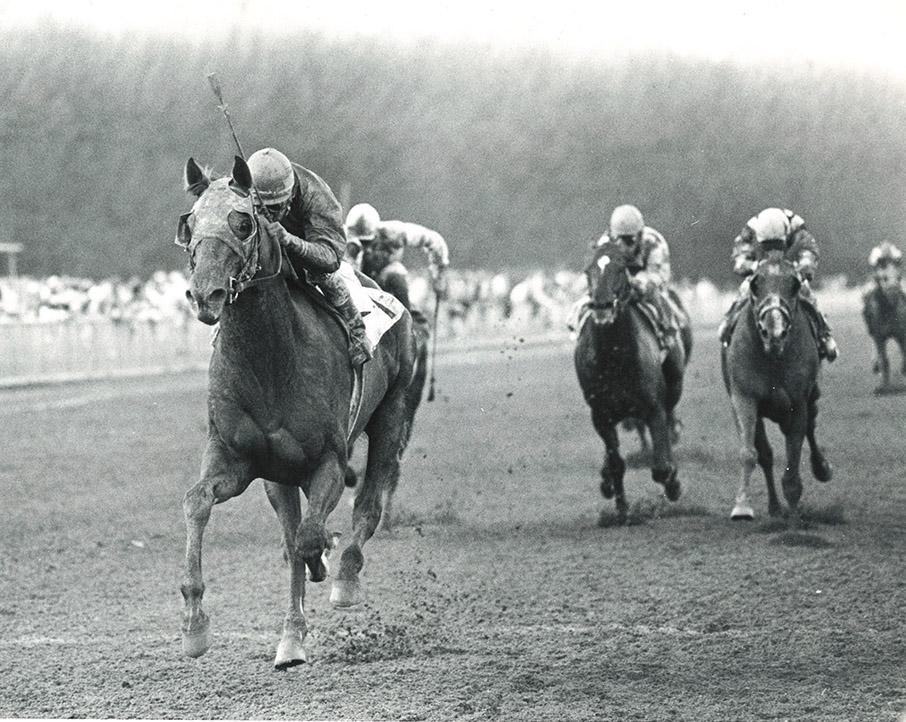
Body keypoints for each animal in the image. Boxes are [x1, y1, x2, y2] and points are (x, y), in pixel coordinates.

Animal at [177, 155, 416, 668]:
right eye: (190, 224)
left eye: (243, 223)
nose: (205, 295)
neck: (270, 363)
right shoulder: (238, 460)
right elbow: (198, 501)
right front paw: (194, 623)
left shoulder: (329, 460)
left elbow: (311, 536)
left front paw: (326, 559)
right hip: (278, 477)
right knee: (291, 537)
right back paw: (291, 638)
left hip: (392, 413)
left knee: (368, 504)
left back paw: (345, 575)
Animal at [572, 242, 684, 524]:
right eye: (588, 270)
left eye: (620, 269)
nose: (601, 305)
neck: (614, 356)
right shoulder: (600, 415)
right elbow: (616, 463)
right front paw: (622, 509)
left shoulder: (653, 408)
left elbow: (661, 467)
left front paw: (673, 484)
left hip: (673, 387)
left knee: (668, 428)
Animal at [720, 256, 832, 520]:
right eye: (754, 284)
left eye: (794, 285)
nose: (774, 332)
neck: (772, 357)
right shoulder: (744, 398)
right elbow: (751, 453)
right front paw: (743, 506)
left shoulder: (798, 403)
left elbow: (794, 453)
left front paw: (793, 508)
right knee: (766, 454)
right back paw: (773, 506)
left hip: (811, 398)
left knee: (810, 429)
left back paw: (821, 468)